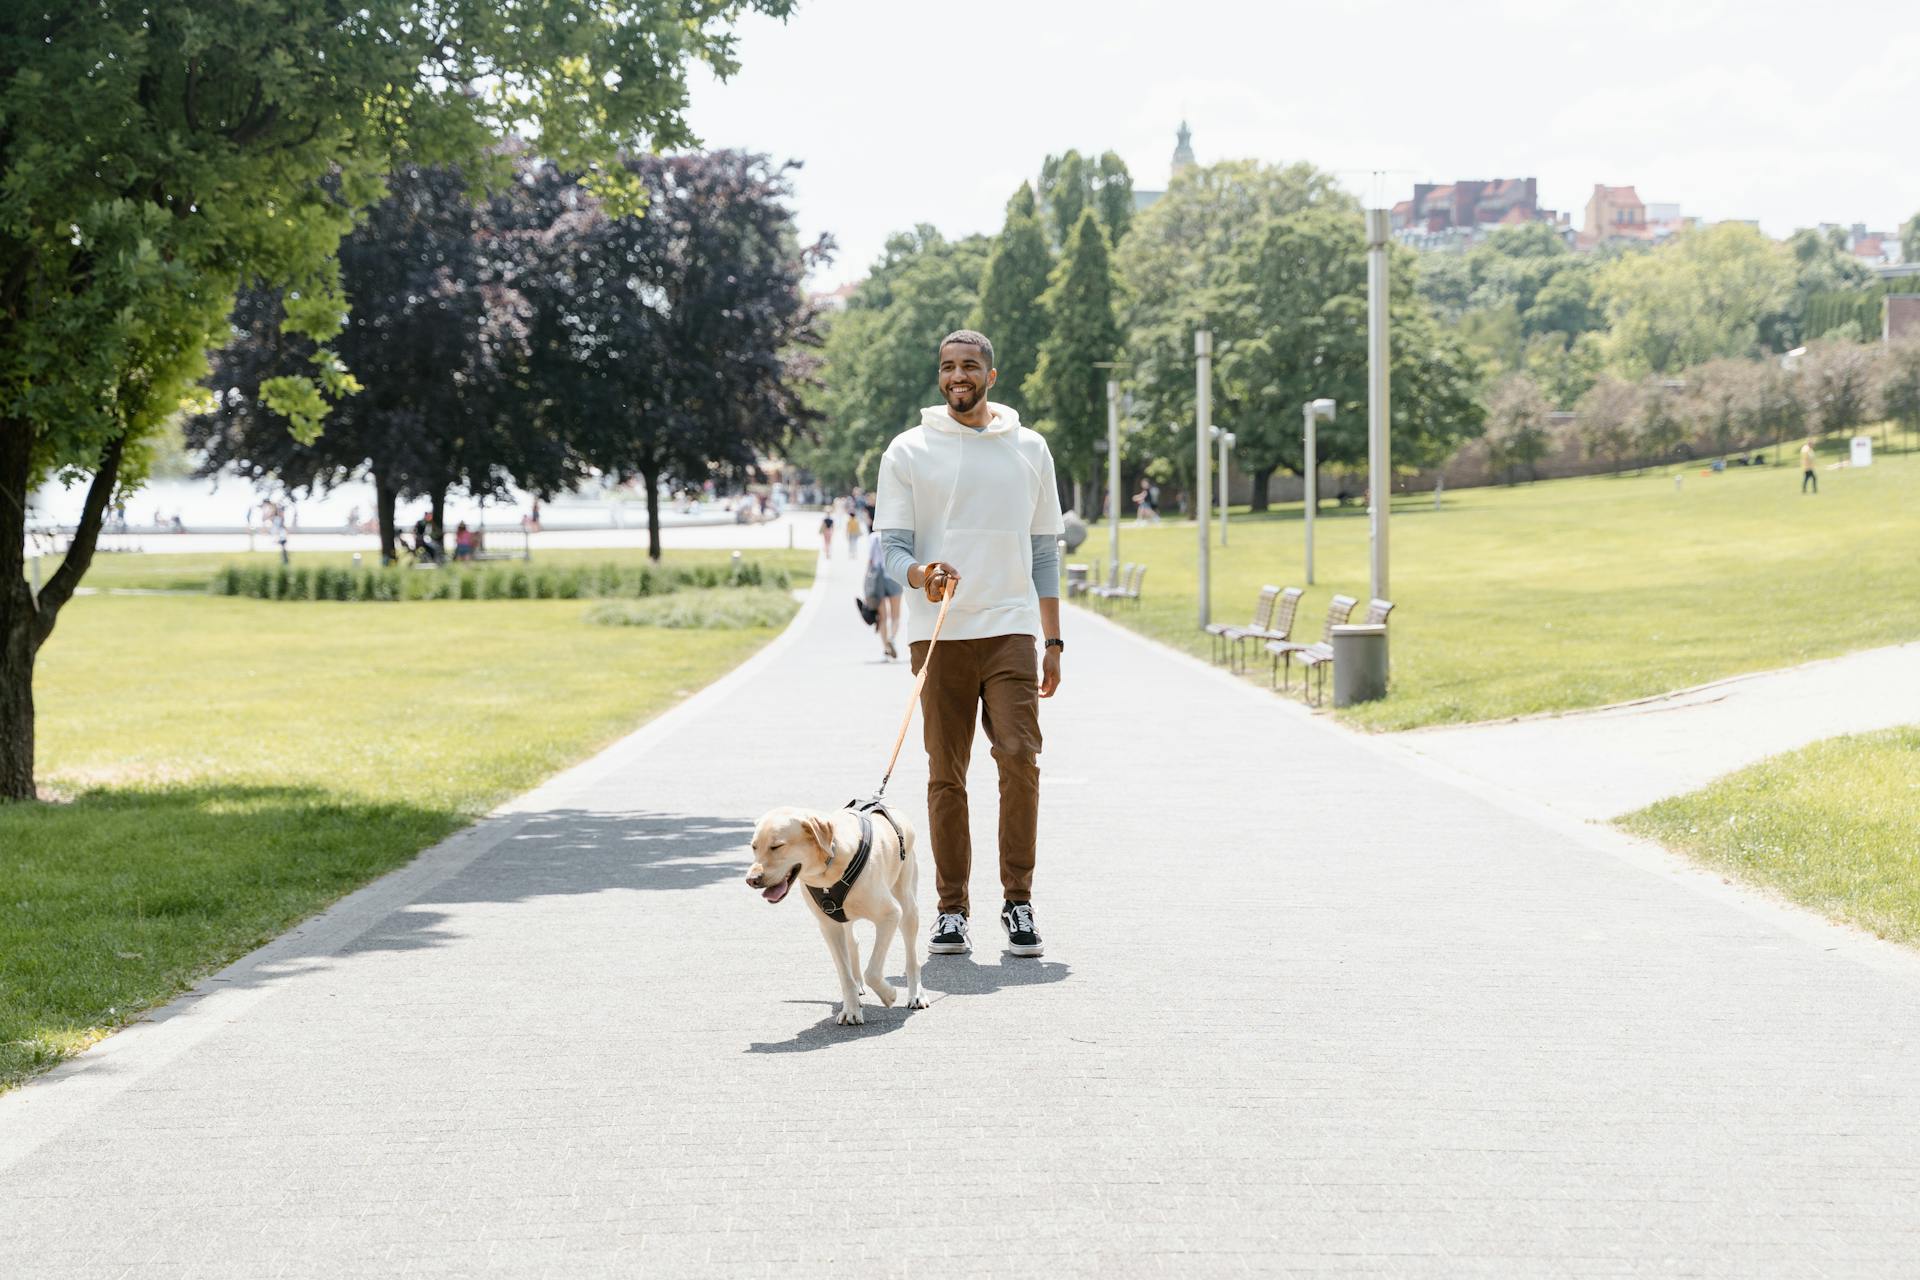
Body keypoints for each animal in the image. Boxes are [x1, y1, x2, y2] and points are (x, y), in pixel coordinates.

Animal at [744, 805, 925, 1028]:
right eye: (754, 847)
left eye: (777, 846)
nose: (751, 880)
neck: (827, 870)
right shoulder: (830, 927)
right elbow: (844, 974)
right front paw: (851, 1010)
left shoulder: (890, 914)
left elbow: (873, 971)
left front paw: (889, 994)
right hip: (844, 918)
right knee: (853, 942)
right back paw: (858, 986)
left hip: (907, 905)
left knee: (911, 955)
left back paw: (916, 994)